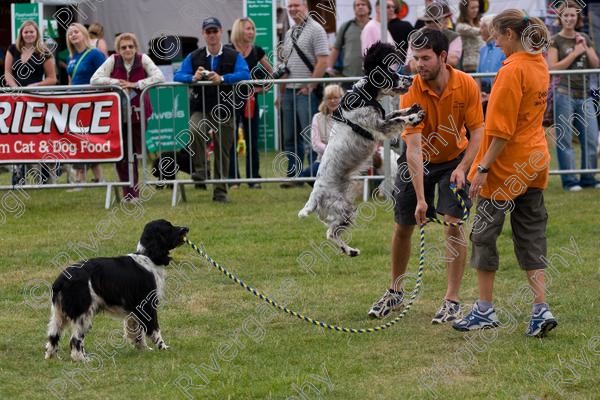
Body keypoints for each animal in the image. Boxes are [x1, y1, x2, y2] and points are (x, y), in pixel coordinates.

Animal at [44, 220, 189, 360]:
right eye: (168, 227)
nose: (186, 228)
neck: (147, 256)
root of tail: (61, 280)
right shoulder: (147, 305)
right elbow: (154, 329)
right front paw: (163, 348)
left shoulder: (134, 309)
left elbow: (137, 331)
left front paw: (143, 348)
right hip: (83, 314)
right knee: (75, 340)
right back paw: (83, 359)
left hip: (58, 315)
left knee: (53, 337)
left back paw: (53, 358)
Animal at [298, 42, 424, 258]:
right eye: (392, 74)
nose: (411, 78)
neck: (365, 95)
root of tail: (314, 197)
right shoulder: (379, 126)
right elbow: (398, 120)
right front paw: (413, 117)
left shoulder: (381, 118)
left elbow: (395, 113)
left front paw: (411, 109)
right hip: (344, 209)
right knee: (330, 233)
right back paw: (350, 251)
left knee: (330, 232)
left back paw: (350, 251)